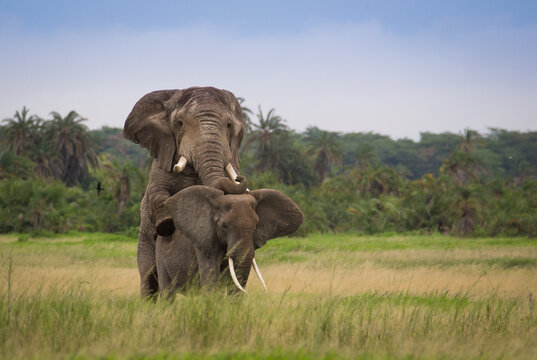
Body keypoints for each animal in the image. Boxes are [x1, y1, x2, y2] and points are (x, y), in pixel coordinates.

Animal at [123, 87, 247, 298]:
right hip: (144, 242)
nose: (240, 178)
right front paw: (166, 223)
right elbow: (156, 193)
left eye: (229, 125)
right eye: (179, 123)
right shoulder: (162, 158)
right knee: (148, 279)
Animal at [149, 186, 302, 296]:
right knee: (168, 294)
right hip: (160, 255)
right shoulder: (205, 243)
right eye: (224, 226)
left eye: (255, 227)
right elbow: (211, 280)